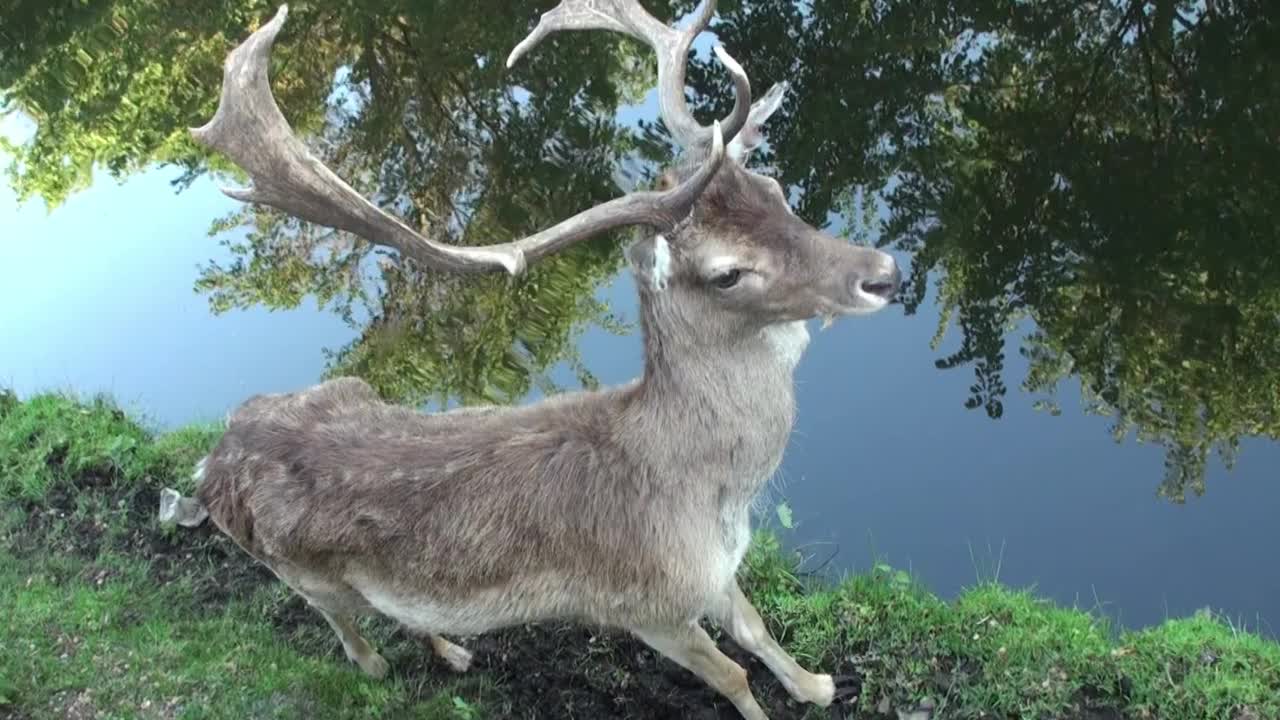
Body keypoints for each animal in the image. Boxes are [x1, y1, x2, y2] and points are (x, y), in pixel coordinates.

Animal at [160, 2, 901, 712]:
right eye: (727, 273)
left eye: (774, 189)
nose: (884, 273)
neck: (710, 493)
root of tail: (214, 458)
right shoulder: (645, 605)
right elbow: (731, 675)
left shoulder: (718, 570)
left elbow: (755, 628)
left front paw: (819, 686)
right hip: (298, 572)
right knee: (341, 620)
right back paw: (374, 667)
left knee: (396, 610)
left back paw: (454, 650)